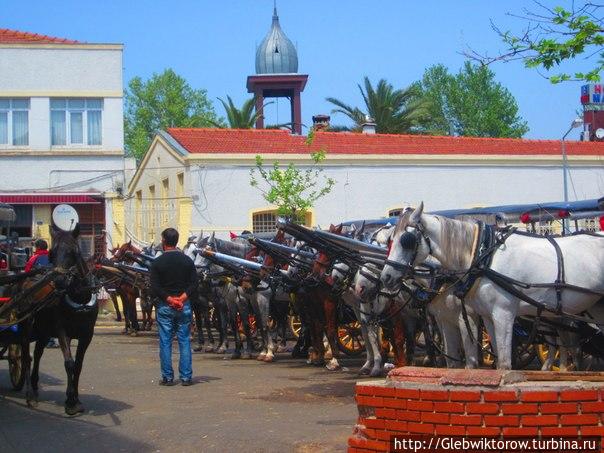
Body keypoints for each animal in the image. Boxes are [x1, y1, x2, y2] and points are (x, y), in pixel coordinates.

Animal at [384, 203, 604, 370]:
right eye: (390, 240)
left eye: (407, 241)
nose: (387, 275)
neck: (483, 255)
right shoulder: (487, 316)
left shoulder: (501, 313)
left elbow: (502, 363)